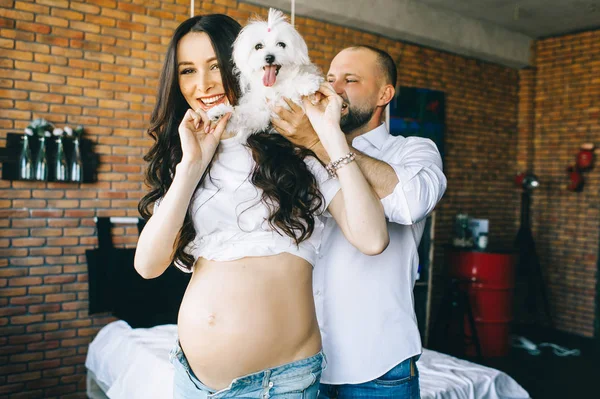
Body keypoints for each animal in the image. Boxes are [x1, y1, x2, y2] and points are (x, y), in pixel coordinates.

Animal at [209, 8, 326, 144]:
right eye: (258, 46)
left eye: (281, 44)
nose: (269, 57)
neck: (275, 85)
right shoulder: (261, 112)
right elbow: (245, 115)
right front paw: (223, 113)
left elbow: (293, 84)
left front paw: (307, 83)